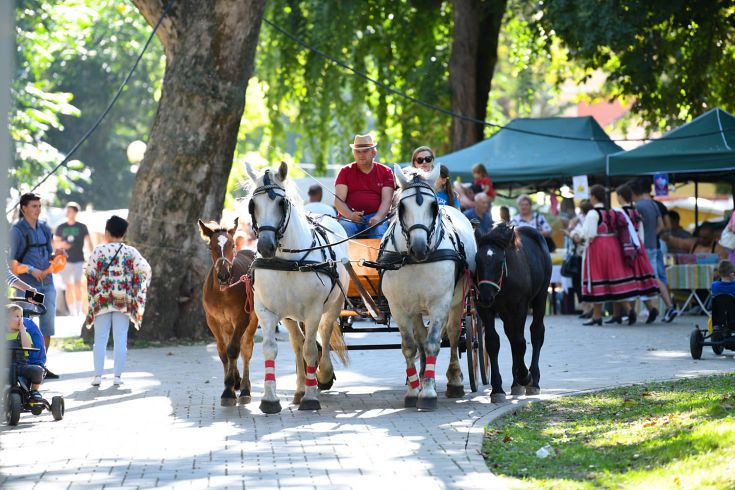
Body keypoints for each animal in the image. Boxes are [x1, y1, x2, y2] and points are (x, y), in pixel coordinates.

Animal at [246, 162, 350, 414]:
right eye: (253, 205)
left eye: (281, 203)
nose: (265, 246)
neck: (288, 261)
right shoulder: (266, 311)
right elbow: (271, 348)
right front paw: (270, 399)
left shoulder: (313, 311)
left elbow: (311, 350)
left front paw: (312, 396)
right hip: (291, 316)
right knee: (297, 343)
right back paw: (301, 388)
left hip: (332, 306)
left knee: (323, 335)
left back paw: (322, 376)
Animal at [382, 165, 480, 410]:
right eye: (401, 207)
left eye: (433, 206)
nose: (419, 248)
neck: (415, 261)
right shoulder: (398, 306)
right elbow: (410, 346)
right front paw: (413, 389)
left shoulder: (440, 303)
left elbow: (433, 343)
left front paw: (427, 392)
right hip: (416, 307)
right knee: (420, 336)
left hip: (457, 301)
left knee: (453, 335)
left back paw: (454, 380)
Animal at [478, 222, 552, 402]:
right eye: (477, 260)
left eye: (499, 261)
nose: (485, 295)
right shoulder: (486, 309)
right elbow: (492, 342)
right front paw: (497, 388)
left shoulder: (519, 307)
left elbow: (520, 343)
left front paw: (526, 376)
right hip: (505, 312)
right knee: (511, 336)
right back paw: (516, 382)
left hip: (541, 296)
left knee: (536, 332)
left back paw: (532, 380)